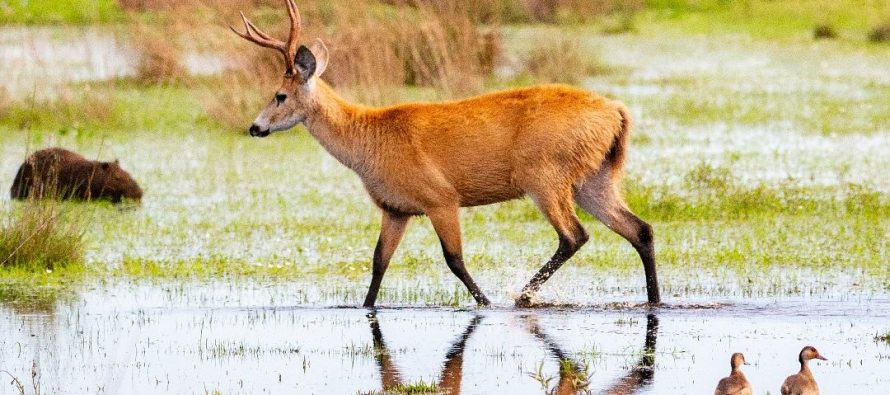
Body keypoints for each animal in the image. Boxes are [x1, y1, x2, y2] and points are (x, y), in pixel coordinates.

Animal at [231, 0, 660, 308]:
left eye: (279, 95)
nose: (254, 127)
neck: (368, 140)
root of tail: (616, 111)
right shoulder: (395, 208)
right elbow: (378, 263)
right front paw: (364, 306)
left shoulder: (441, 198)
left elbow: (454, 259)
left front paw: (485, 303)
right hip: (593, 179)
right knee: (640, 229)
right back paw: (654, 299)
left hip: (544, 178)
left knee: (574, 235)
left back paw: (522, 297)